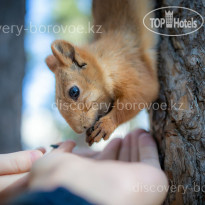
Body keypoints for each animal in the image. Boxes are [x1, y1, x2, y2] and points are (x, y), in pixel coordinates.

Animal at [46, 0, 159, 146]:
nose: (81, 129)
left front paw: (106, 125)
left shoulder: (133, 69)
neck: (104, 63)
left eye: (74, 91)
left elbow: (142, 93)